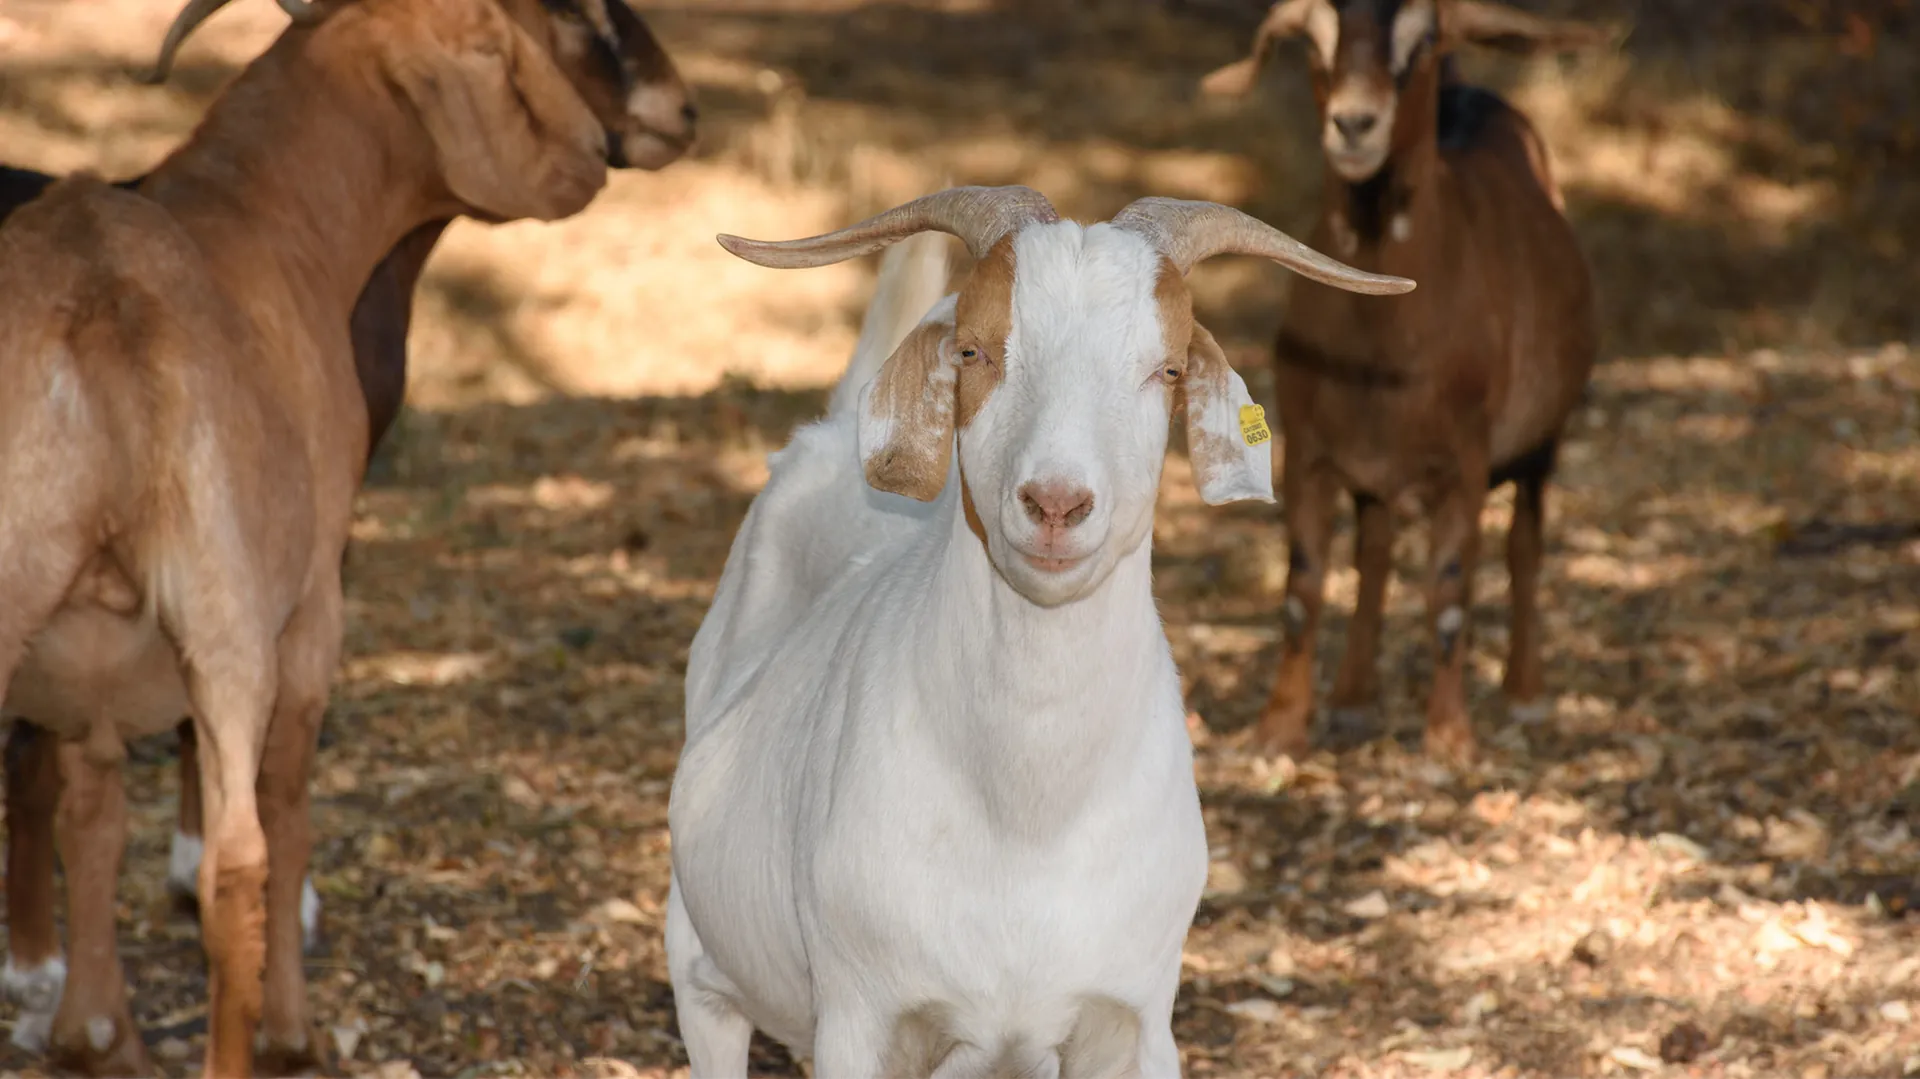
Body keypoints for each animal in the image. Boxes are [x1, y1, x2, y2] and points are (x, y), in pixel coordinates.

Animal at [0, 0, 692, 1071]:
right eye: (519, 35)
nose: (672, 116)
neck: (271, 222)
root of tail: (101, 312)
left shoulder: (89, 668)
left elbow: (93, 816)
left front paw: (94, 1030)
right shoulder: (313, 603)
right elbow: (289, 808)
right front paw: (291, 1028)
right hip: (227, 608)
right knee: (238, 861)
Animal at [665, 186, 1411, 1078]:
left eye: (1166, 368)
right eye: (975, 351)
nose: (1056, 503)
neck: (1027, 819)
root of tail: (838, 428)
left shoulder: (1133, 1020)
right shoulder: (859, 1019)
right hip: (700, 970)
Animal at [1199, 0, 1610, 762]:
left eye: (1421, 42)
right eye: (1314, 42)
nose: (1356, 124)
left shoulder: (1465, 460)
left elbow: (1448, 591)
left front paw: (1448, 736)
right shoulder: (1307, 450)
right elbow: (1303, 587)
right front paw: (1279, 726)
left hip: (1543, 438)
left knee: (1525, 544)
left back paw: (1524, 689)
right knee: (1377, 548)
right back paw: (1355, 695)